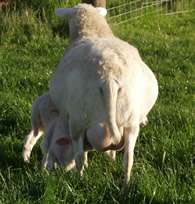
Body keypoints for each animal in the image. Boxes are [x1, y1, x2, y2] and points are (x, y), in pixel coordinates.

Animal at [49, 3, 158, 191]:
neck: (92, 31)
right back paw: (125, 187)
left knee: (79, 155)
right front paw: (111, 163)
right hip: (130, 122)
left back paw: (80, 180)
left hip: (78, 121)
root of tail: (108, 77)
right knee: (128, 158)